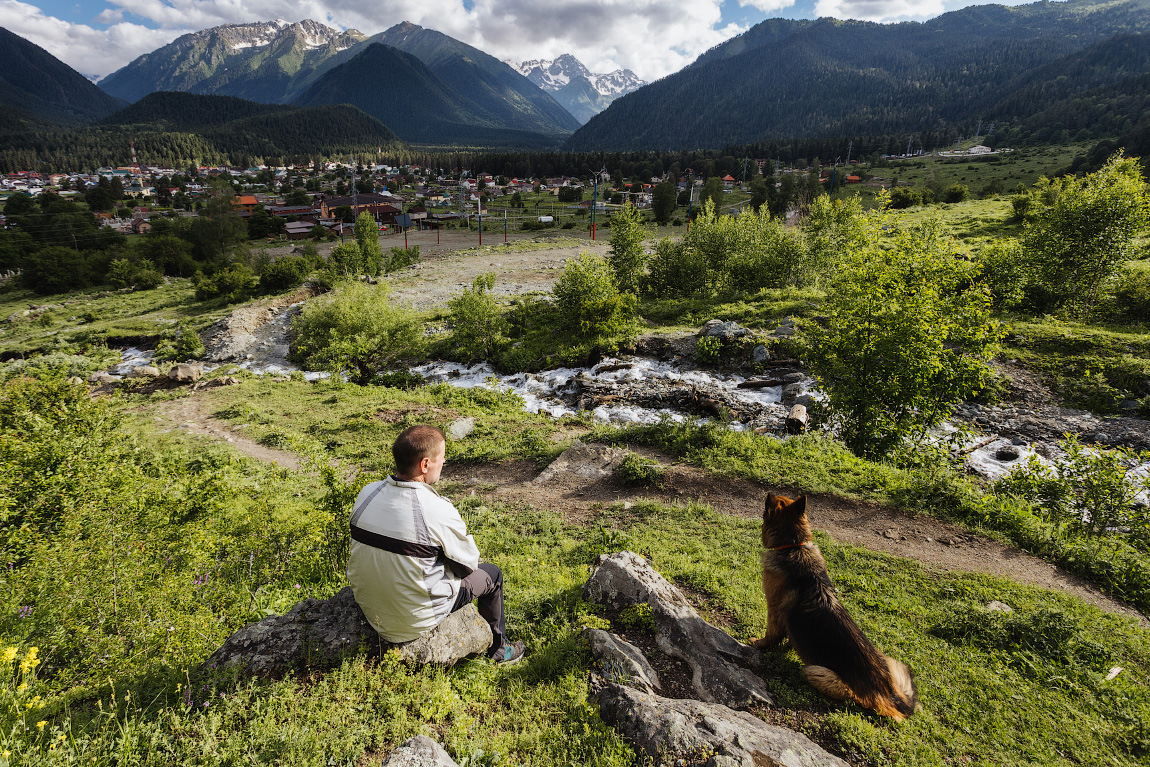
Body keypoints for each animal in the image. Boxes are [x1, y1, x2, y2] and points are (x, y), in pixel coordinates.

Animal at [749, 492, 920, 722]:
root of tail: (889, 694)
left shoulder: (774, 611)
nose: (768, 493)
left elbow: (771, 635)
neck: (793, 546)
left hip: (817, 672)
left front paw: (758, 643)